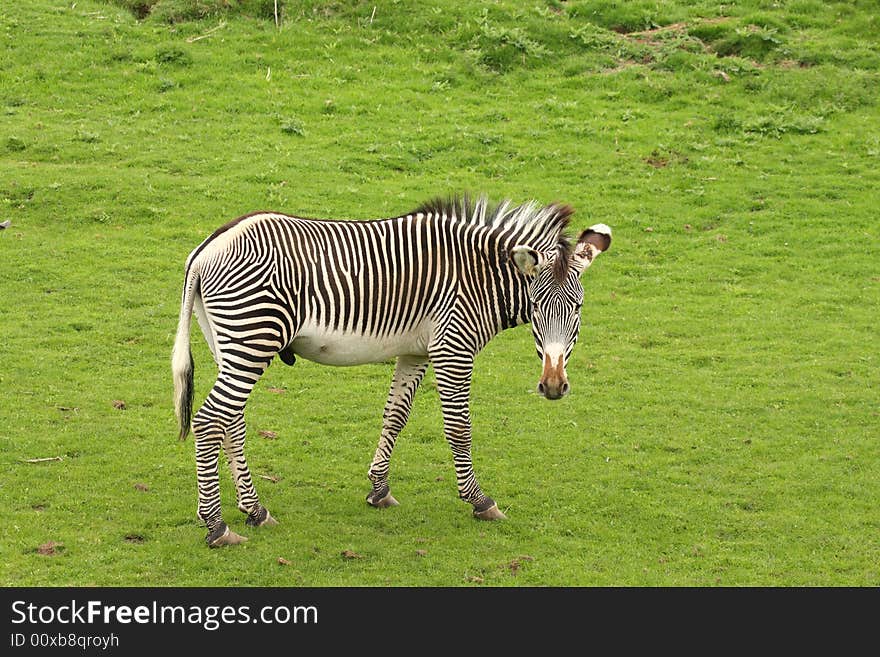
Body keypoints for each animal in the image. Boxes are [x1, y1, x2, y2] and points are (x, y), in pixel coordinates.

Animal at [172, 195, 612, 548]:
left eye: (577, 308)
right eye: (537, 307)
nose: (553, 386)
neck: (476, 277)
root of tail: (207, 249)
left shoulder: (415, 352)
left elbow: (395, 417)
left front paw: (379, 489)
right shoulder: (453, 346)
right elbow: (459, 428)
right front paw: (479, 501)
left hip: (229, 343)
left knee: (231, 421)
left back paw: (255, 511)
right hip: (253, 337)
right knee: (210, 420)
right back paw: (217, 527)